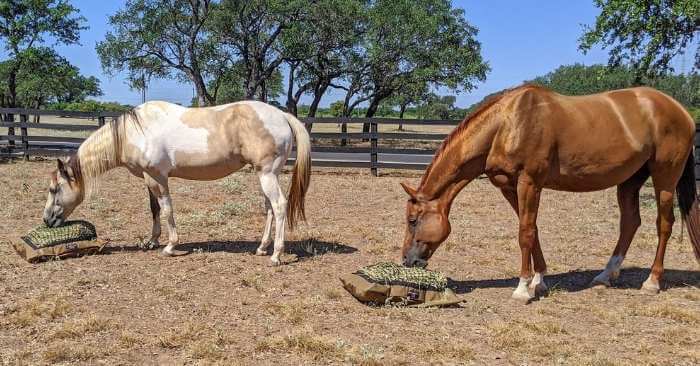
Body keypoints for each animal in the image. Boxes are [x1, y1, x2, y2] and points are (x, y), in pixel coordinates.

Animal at [45, 101, 314, 266]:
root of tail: (282, 115)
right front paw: (152, 241)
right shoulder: (148, 178)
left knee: (279, 206)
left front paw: (170, 246)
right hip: (266, 174)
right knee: (269, 208)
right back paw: (261, 248)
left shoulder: (158, 177)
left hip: (267, 174)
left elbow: (166, 209)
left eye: (54, 189)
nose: (47, 220)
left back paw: (276, 255)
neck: (134, 131)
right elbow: (154, 209)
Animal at [400, 84, 700, 302]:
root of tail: (681, 111)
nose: (407, 260)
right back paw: (605, 275)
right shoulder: (509, 186)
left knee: (664, 225)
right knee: (630, 223)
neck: (507, 124)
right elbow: (532, 230)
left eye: (413, 220)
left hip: (665, 178)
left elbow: (525, 233)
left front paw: (522, 289)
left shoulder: (529, 183)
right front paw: (539, 280)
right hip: (630, 181)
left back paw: (652, 281)